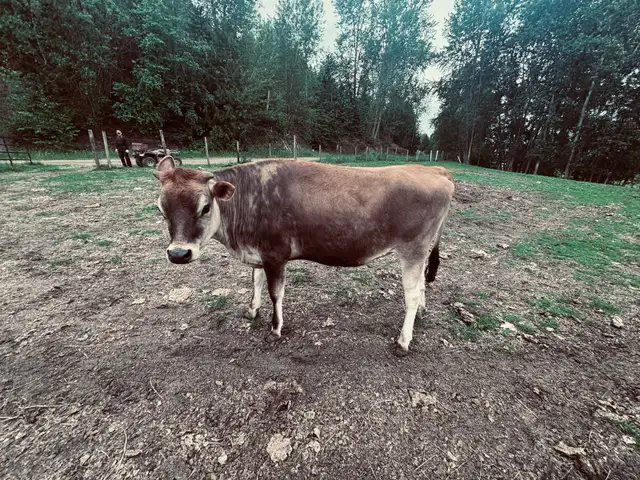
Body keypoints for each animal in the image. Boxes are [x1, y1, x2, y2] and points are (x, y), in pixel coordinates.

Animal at [154, 156, 454, 356]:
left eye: (205, 207)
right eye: (161, 209)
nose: (178, 253)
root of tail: (436, 170)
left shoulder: (275, 254)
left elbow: (275, 293)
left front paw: (275, 328)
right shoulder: (258, 252)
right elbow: (255, 281)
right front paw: (252, 310)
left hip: (413, 248)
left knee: (411, 293)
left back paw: (403, 341)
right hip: (420, 251)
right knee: (421, 285)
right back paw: (422, 312)